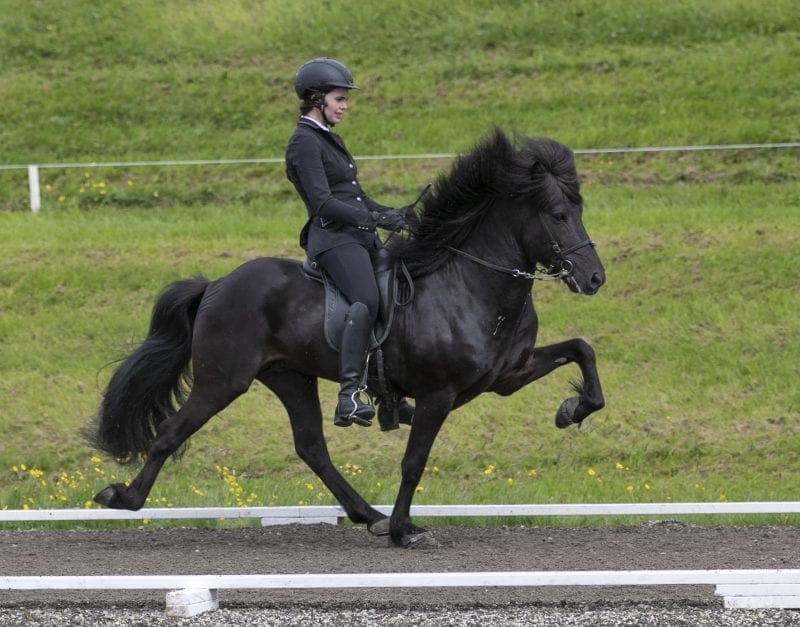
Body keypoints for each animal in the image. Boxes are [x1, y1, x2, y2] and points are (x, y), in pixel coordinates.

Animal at [87, 129, 608, 548]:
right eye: (558, 215)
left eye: (580, 209)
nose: (594, 278)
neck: (471, 283)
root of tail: (216, 284)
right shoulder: (439, 393)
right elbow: (414, 460)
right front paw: (405, 531)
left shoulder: (507, 376)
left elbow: (582, 349)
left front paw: (572, 410)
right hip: (223, 381)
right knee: (171, 432)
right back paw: (123, 496)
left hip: (289, 377)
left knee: (312, 448)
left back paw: (368, 515)